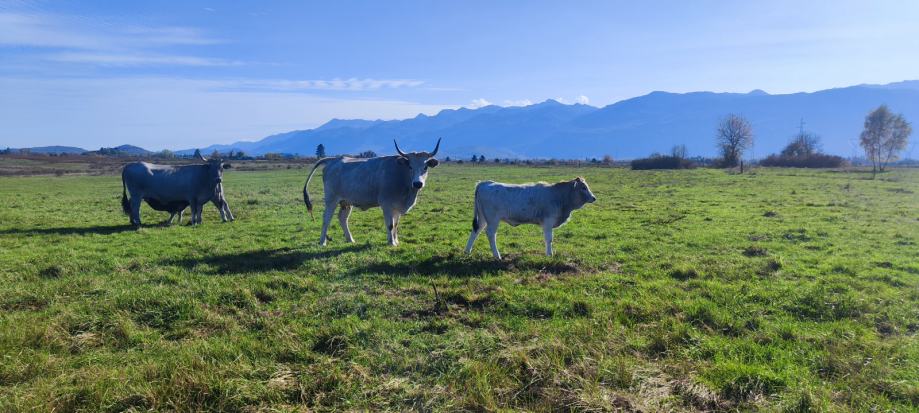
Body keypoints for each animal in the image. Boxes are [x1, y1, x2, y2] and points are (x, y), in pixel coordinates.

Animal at [303, 139, 441, 246]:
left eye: (425, 167)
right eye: (410, 166)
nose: (418, 183)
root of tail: (333, 160)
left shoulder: (397, 207)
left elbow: (396, 224)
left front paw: (396, 241)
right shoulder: (386, 204)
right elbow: (390, 225)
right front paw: (391, 243)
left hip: (346, 202)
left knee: (342, 218)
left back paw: (350, 239)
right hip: (331, 200)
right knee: (326, 218)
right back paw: (322, 242)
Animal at [464, 177, 597, 259]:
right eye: (583, 187)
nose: (594, 197)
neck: (559, 196)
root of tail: (484, 183)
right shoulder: (548, 222)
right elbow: (549, 239)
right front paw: (549, 254)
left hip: (482, 218)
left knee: (476, 230)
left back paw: (467, 251)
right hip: (493, 219)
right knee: (491, 234)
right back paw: (497, 255)